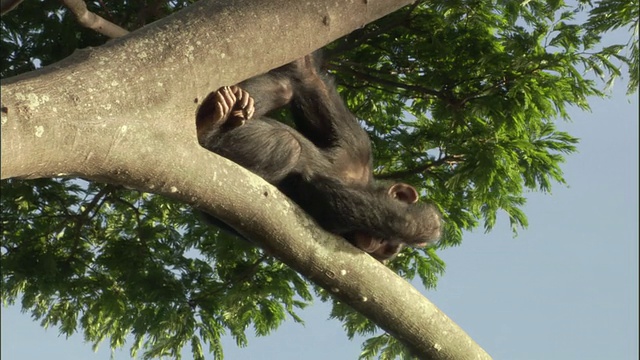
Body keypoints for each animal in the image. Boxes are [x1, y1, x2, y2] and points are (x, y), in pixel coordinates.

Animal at [195, 54, 442, 260]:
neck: (361, 182)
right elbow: (308, 77)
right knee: (289, 141)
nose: (375, 243)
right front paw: (428, 226)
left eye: (386, 248)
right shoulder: (358, 146)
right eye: (386, 240)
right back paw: (210, 121)